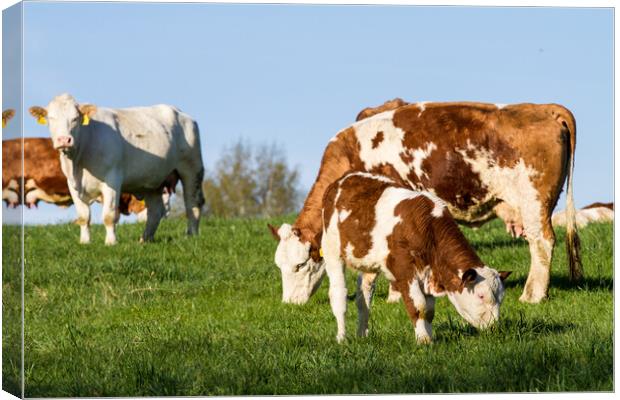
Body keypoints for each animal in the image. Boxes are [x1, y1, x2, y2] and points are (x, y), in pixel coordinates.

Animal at [29, 94, 203, 244]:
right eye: (51, 118)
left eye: (75, 119)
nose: (64, 140)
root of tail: (180, 112)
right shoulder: (72, 185)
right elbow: (83, 216)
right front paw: (85, 242)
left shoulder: (112, 180)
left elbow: (109, 215)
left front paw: (111, 242)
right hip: (153, 180)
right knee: (155, 211)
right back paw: (145, 239)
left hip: (192, 168)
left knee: (192, 204)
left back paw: (191, 235)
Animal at [272, 99, 580, 304]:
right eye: (279, 266)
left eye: (299, 265)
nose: (289, 304)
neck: (351, 155)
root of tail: (544, 108)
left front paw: (392, 296)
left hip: (533, 202)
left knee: (541, 243)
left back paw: (532, 296)